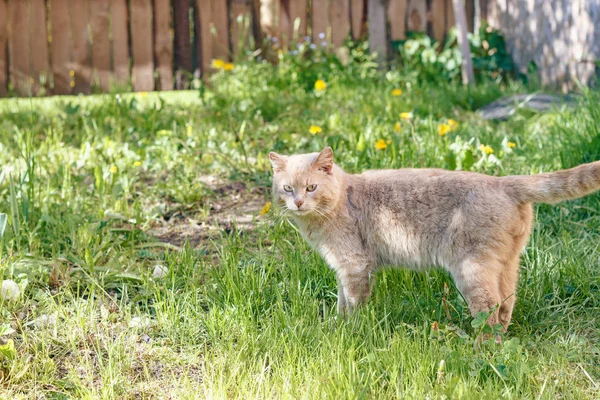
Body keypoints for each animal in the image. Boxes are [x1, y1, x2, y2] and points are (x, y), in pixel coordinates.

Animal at [270, 147, 600, 332]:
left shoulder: (354, 265)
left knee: (489, 311)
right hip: (507, 264)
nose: (298, 202)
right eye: (287, 188)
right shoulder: (342, 268)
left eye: (311, 187)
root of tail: (503, 182)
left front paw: (347, 331)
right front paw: (337, 326)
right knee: (506, 305)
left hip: (471, 269)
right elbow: (341, 301)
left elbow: (352, 303)